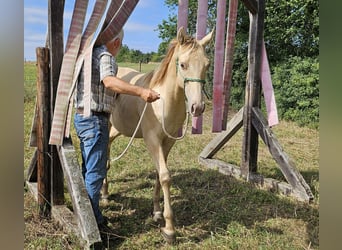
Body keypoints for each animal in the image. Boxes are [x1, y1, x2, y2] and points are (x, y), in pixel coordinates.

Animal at [103, 27, 212, 244]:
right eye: (183, 64)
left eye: (207, 64)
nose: (197, 107)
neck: (162, 102)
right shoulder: (152, 140)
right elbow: (165, 176)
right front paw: (169, 229)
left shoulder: (167, 142)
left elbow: (158, 174)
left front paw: (156, 212)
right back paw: (103, 193)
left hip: (117, 129)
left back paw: (104, 191)